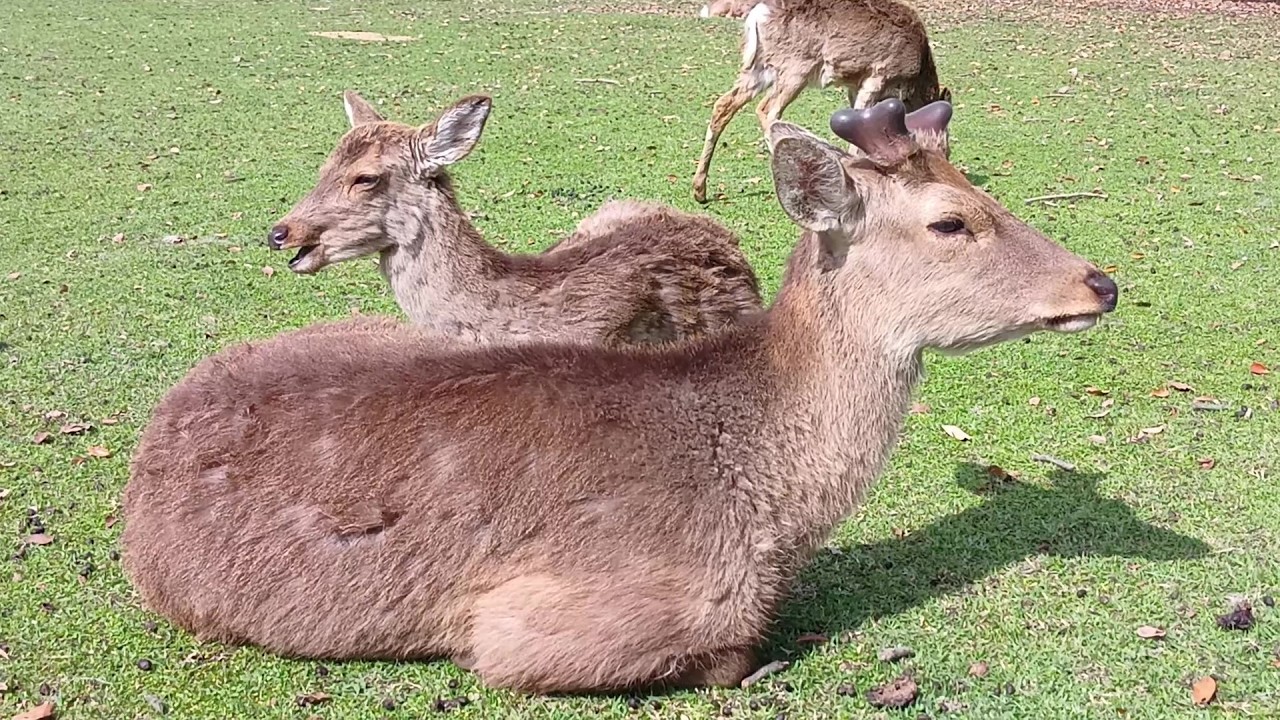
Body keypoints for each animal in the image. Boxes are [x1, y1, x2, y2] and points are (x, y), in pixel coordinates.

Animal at [692, 0, 952, 203]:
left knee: (723, 104)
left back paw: (699, 190)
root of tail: (757, 15)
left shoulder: (854, 85)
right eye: (946, 147)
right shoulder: (877, 75)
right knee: (768, 109)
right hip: (796, 67)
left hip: (759, 68)